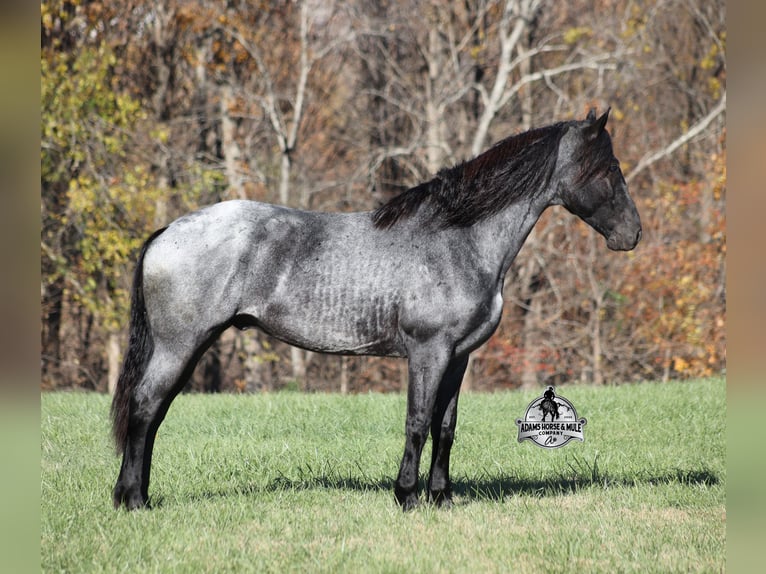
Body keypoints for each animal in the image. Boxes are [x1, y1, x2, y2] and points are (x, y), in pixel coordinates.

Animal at [111, 108, 641, 511]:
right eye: (608, 170)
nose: (632, 234)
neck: (457, 238)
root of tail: (167, 231)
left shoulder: (459, 356)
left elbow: (445, 427)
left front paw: (442, 498)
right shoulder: (428, 352)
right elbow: (418, 421)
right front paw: (407, 496)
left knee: (153, 414)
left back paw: (135, 496)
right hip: (181, 345)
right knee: (146, 408)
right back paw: (133, 500)